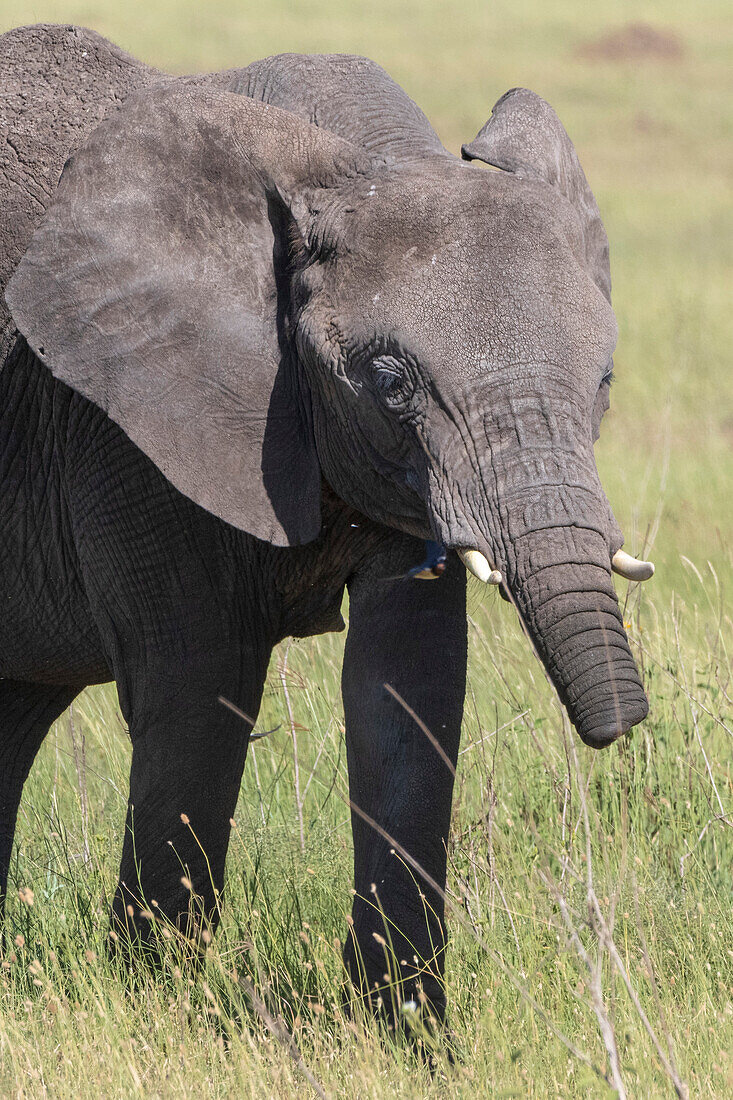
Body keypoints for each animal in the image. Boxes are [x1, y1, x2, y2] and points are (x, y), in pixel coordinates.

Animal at [0, 25, 651, 1020]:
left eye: (605, 380)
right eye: (389, 381)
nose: (624, 726)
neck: (357, 162)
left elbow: (407, 690)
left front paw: (408, 1031)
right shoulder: (121, 421)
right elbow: (198, 692)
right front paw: (161, 1010)